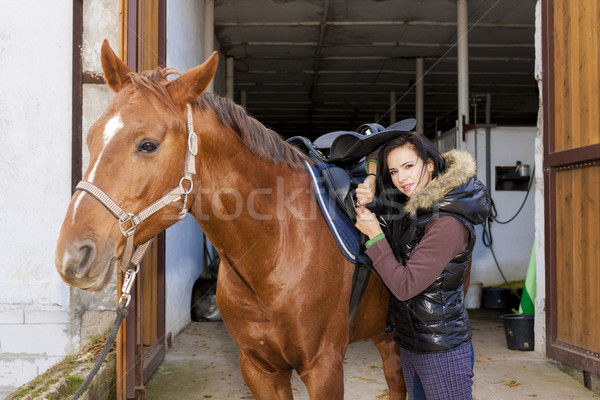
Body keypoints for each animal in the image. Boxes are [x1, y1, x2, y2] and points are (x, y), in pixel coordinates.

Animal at [56, 41, 406, 400]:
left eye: (148, 145)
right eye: (91, 137)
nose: (73, 254)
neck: (275, 250)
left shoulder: (325, 368)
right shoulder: (259, 369)